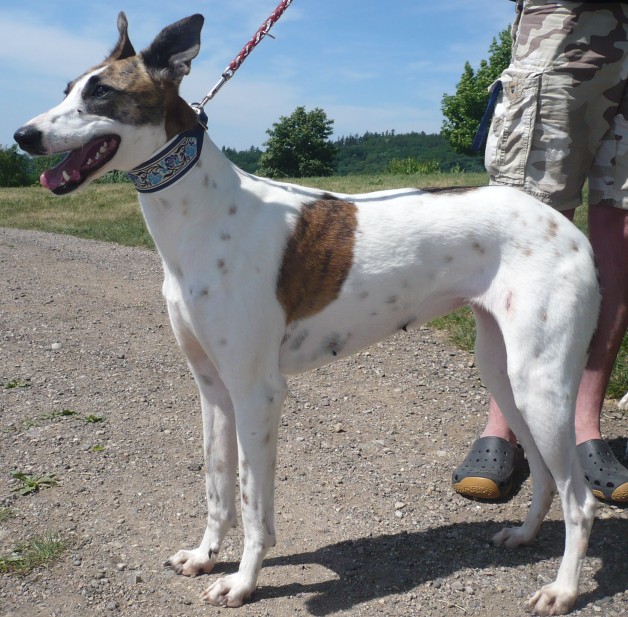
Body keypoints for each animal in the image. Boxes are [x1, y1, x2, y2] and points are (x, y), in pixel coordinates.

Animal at [14, 13, 601, 616]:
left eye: (102, 93)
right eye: (67, 88)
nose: (22, 136)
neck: (204, 215)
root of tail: (568, 228)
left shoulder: (258, 392)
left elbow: (253, 502)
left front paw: (242, 582)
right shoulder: (213, 390)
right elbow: (218, 486)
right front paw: (205, 555)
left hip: (541, 383)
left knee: (581, 500)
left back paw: (563, 589)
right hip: (504, 372)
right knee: (547, 476)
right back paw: (524, 535)